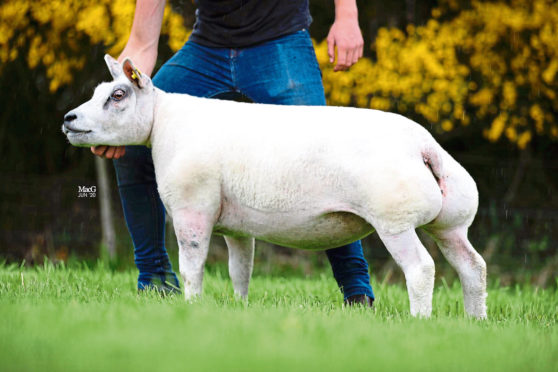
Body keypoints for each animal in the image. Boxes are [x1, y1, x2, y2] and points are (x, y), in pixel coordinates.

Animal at [63, 54, 488, 316]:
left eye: (118, 94)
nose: (69, 119)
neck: (162, 122)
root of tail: (424, 147)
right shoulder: (236, 227)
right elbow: (240, 271)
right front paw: (239, 308)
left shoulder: (192, 210)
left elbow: (192, 266)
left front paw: (192, 307)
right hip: (451, 224)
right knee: (473, 268)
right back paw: (475, 321)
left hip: (395, 221)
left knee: (421, 269)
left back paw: (420, 320)